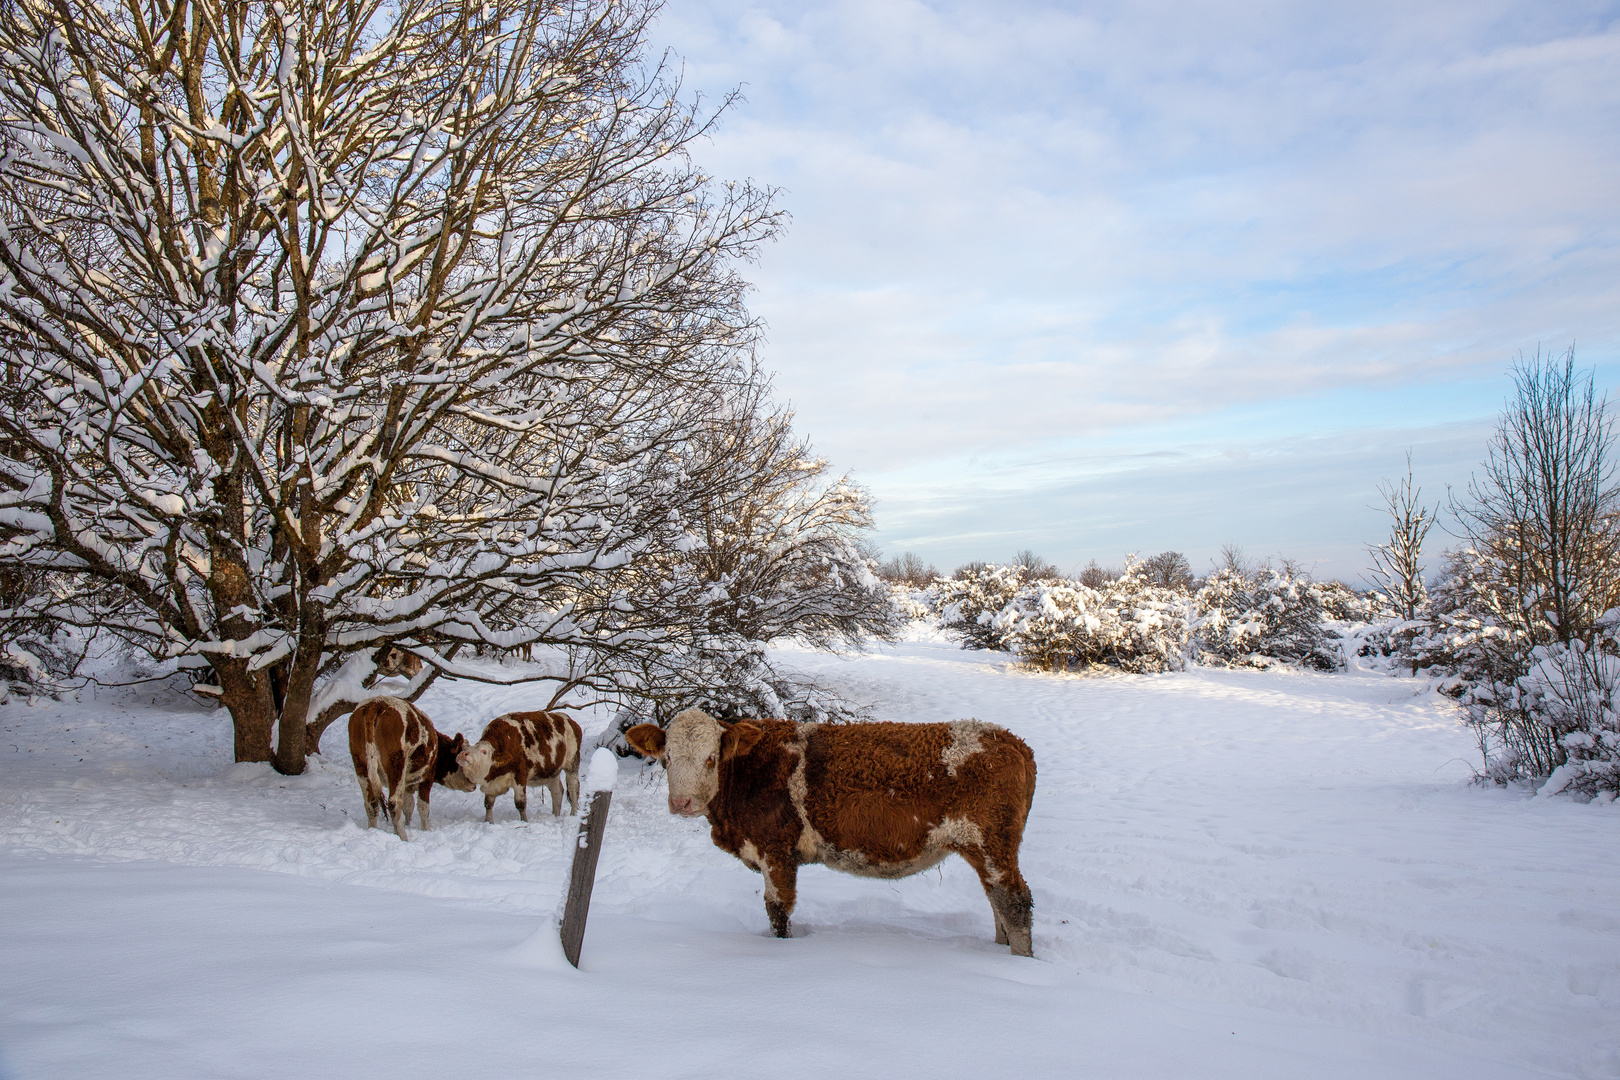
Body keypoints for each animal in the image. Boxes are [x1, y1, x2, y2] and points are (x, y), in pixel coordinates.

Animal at [341, 696, 469, 841]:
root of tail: (376, 703)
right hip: (396, 765)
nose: (472, 784)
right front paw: (426, 829)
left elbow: (408, 805)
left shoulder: (407, 783)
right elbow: (423, 807)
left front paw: (408, 824)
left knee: (371, 803)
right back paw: (403, 836)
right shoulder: (426, 777)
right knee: (394, 803)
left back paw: (373, 830)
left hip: (361, 764)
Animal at [453, 712, 586, 822]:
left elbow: (520, 803)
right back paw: (555, 816)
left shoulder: (520, 776)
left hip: (571, 763)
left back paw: (573, 814)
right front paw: (488, 822)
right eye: (465, 748)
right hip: (551, 772)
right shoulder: (491, 785)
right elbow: (488, 803)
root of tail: (569, 720)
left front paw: (524, 822)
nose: (463, 754)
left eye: (484, 751)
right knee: (557, 791)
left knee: (573, 788)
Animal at [625, 712, 1043, 958]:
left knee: (1014, 902)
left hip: (991, 844)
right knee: (997, 902)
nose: (681, 802)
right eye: (666, 758)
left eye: (711, 758)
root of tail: (1011, 741)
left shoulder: (776, 851)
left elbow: (777, 909)